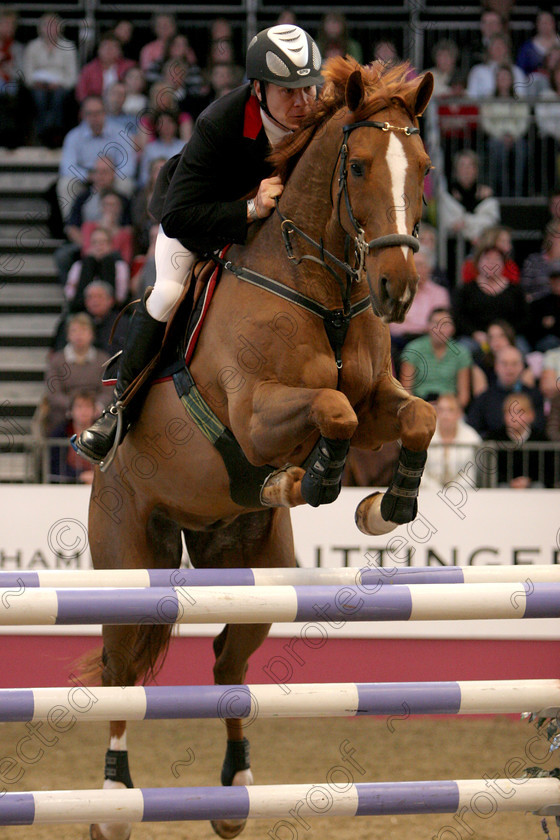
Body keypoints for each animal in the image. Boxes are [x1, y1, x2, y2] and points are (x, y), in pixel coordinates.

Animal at [86, 60, 438, 840]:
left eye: (425, 168)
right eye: (359, 166)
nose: (399, 290)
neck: (321, 286)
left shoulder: (380, 401)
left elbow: (418, 417)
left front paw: (382, 506)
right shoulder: (254, 413)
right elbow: (331, 411)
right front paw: (306, 479)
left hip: (256, 571)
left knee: (227, 662)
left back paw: (236, 790)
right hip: (128, 565)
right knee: (121, 672)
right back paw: (114, 799)